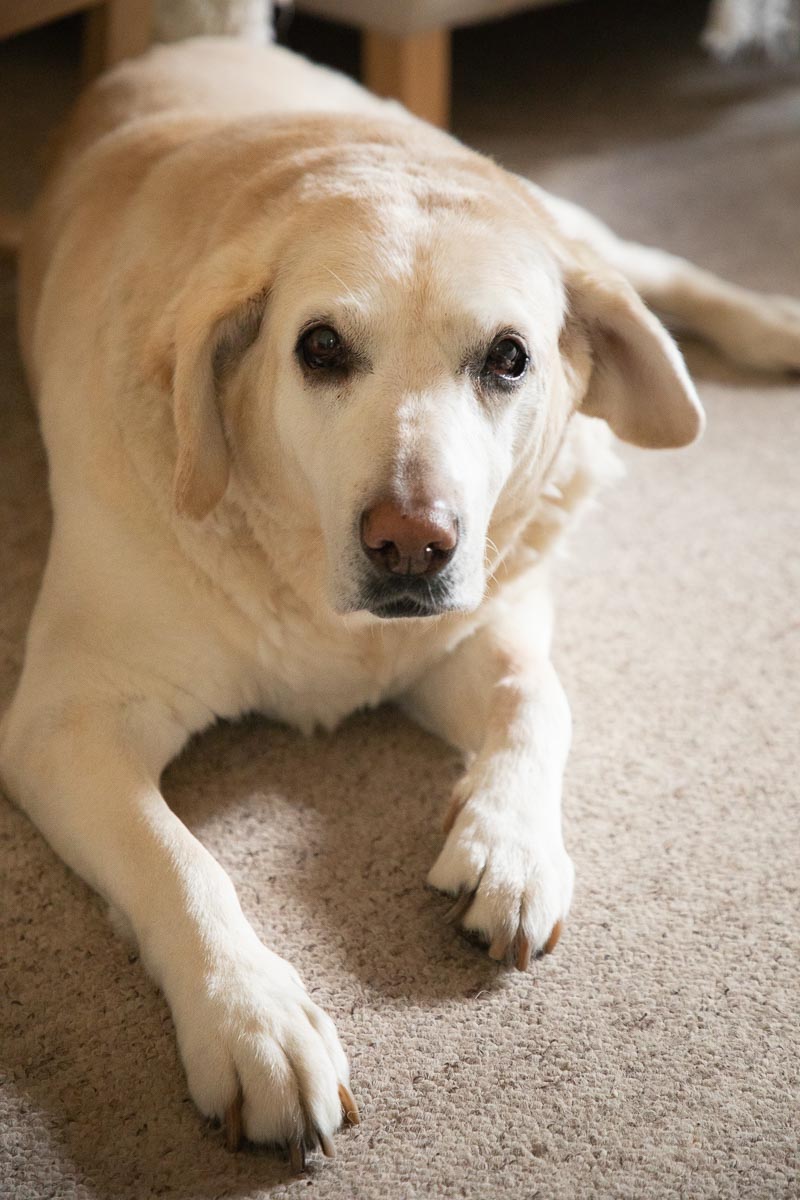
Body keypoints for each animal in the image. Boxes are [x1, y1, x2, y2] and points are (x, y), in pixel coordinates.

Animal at [2, 35, 799, 1166]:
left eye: (508, 357)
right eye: (320, 347)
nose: (410, 545)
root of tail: (199, 41)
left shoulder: (477, 628)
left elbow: (539, 700)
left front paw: (511, 844)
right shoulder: (68, 724)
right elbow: (180, 862)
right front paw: (253, 1021)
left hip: (571, 228)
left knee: (656, 271)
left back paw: (774, 324)